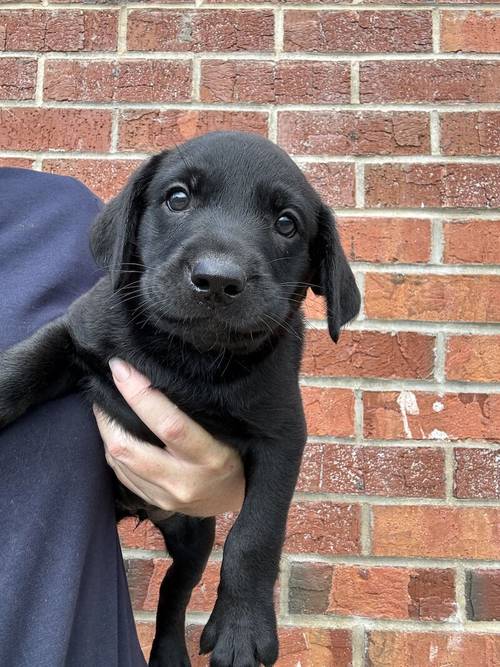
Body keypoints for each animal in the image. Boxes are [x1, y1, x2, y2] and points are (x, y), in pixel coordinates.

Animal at [0, 132, 360, 667]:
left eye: (286, 224)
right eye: (177, 199)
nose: (217, 279)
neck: (189, 356)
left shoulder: (283, 435)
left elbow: (256, 533)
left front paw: (241, 628)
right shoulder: (78, 333)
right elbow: (26, 363)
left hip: (194, 535)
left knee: (174, 593)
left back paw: (171, 651)